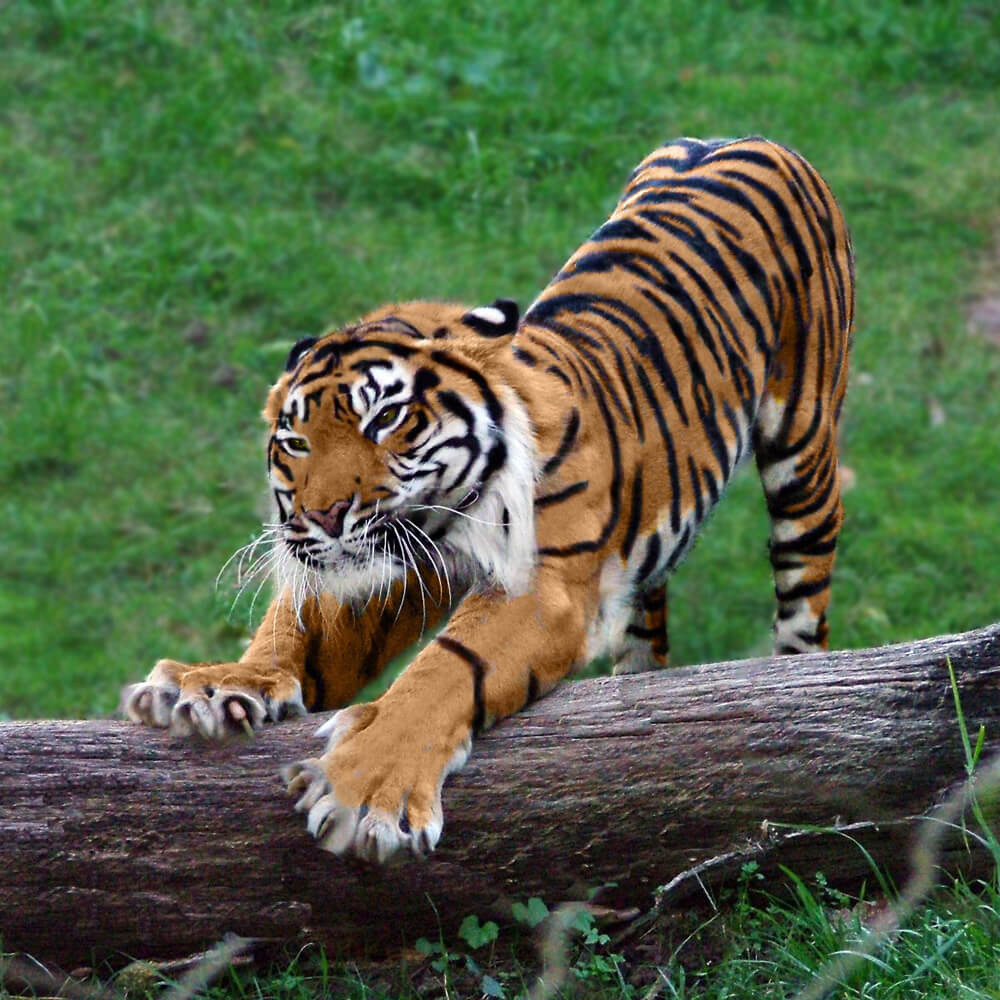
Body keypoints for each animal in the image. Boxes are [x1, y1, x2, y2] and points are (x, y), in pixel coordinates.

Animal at [124, 136, 855, 863]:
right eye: (296, 442)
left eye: (385, 418)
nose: (325, 515)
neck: (441, 514)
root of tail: (744, 139)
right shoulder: (393, 565)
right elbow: (302, 631)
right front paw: (219, 683)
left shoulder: (540, 584)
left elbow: (446, 670)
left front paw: (367, 789)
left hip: (805, 451)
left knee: (805, 601)